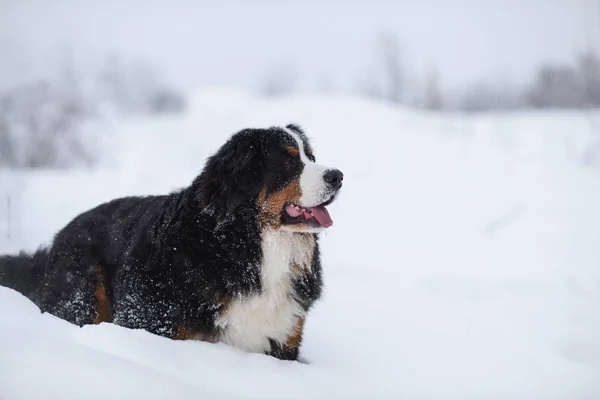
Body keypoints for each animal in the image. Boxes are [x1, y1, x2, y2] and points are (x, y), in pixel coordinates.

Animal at [0, 123, 342, 360]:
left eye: (311, 156)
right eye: (289, 162)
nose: (337, 176)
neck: (246, 245)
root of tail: (59, 237)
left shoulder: (284, 342)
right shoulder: (151, 322)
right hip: (84, 295)